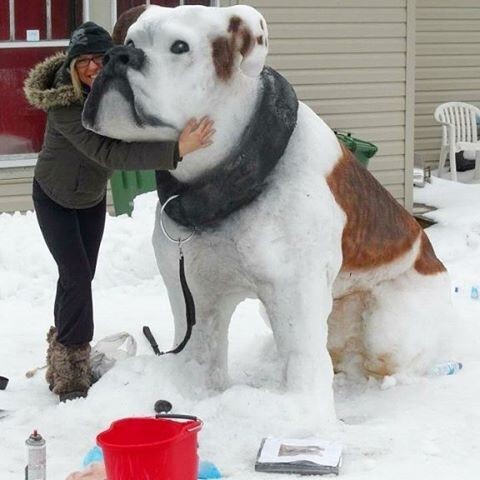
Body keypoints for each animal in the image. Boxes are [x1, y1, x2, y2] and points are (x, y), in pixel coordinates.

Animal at [80, 5, 452, 422]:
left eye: (179, 47)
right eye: (129, 40)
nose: (117, 56)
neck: (230, 179)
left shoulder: (294, 290)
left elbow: (302, 361)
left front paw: (294, 411)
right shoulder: (194, 291)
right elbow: (201, 351)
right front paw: (192, 391)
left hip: (388, 326)